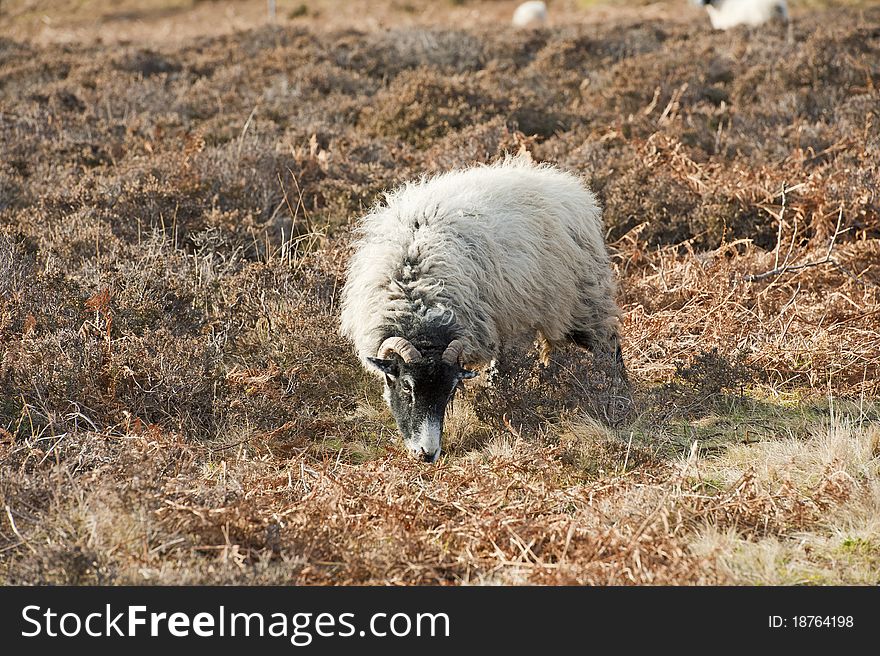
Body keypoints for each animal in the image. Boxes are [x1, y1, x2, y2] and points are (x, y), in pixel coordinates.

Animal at [336, 155, 624, 462]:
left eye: (450, 390)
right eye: (406, 386)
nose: (427, 454)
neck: (420, 305)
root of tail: (568, 185)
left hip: (584, 299)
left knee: (609, 347)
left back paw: (620, 397)